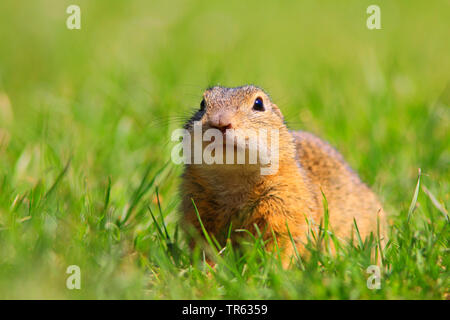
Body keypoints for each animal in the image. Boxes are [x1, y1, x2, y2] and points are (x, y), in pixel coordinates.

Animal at [181, 84, 384, 264]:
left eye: (258, 103)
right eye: (202, 104)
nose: (220, 122)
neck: (234, 178)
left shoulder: (286, 206)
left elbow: (283, 243)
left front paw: (271, 269)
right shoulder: (197, 209)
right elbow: (204, 245)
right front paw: (207, 271)